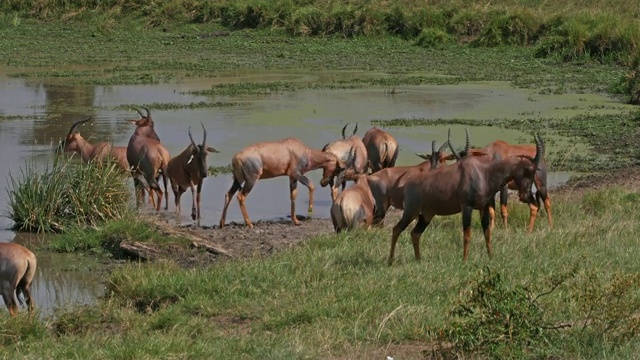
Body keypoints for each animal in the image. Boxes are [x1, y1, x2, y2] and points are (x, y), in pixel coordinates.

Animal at [219, 138, 350, 228]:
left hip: (238, 179)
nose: (324, 182)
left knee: (228, 194)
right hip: (251, 179)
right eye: (338, 168)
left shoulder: (292, 177)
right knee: (240, 196)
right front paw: (310, 209)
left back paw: (222, 223)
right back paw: (249, 224)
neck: (303, 151)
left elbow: (293, 195)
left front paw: (296, 221)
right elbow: (311, 185)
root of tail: (236, 158)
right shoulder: (296, 173)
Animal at [384, 130, 544, 264]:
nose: (525, 196)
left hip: (427, 214)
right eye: (528, 170)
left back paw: (419, 260)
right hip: (411, 211)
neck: (483, 172)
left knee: (415, 233)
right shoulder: (466, 207)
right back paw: (390, 261)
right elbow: (467, 234)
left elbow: (487, 232)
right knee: (397, 229)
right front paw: (465, 260)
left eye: (535, 170)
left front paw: (490, 256)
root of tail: (408, 185)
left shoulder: (483, 207)